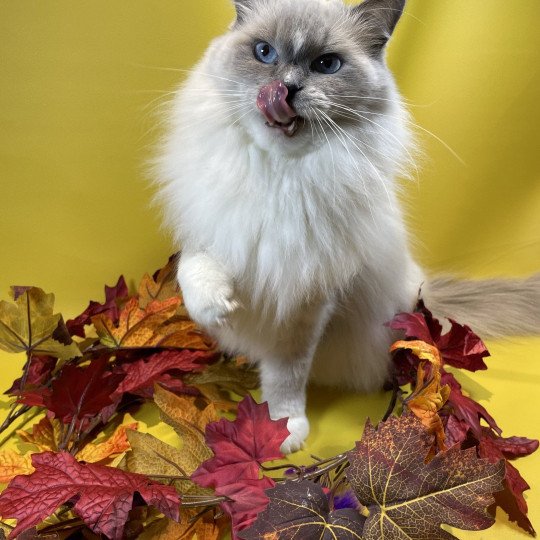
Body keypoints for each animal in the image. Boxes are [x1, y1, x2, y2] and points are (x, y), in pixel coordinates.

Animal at [153, 0, 540, 454]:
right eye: (265, 53)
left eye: (326, 64)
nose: (285, 88)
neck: (282, 178)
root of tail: (422, 289)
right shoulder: (213, 229)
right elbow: (194, 269)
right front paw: (215, 308)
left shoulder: (307, 302)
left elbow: (286, 375)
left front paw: (282, 429)